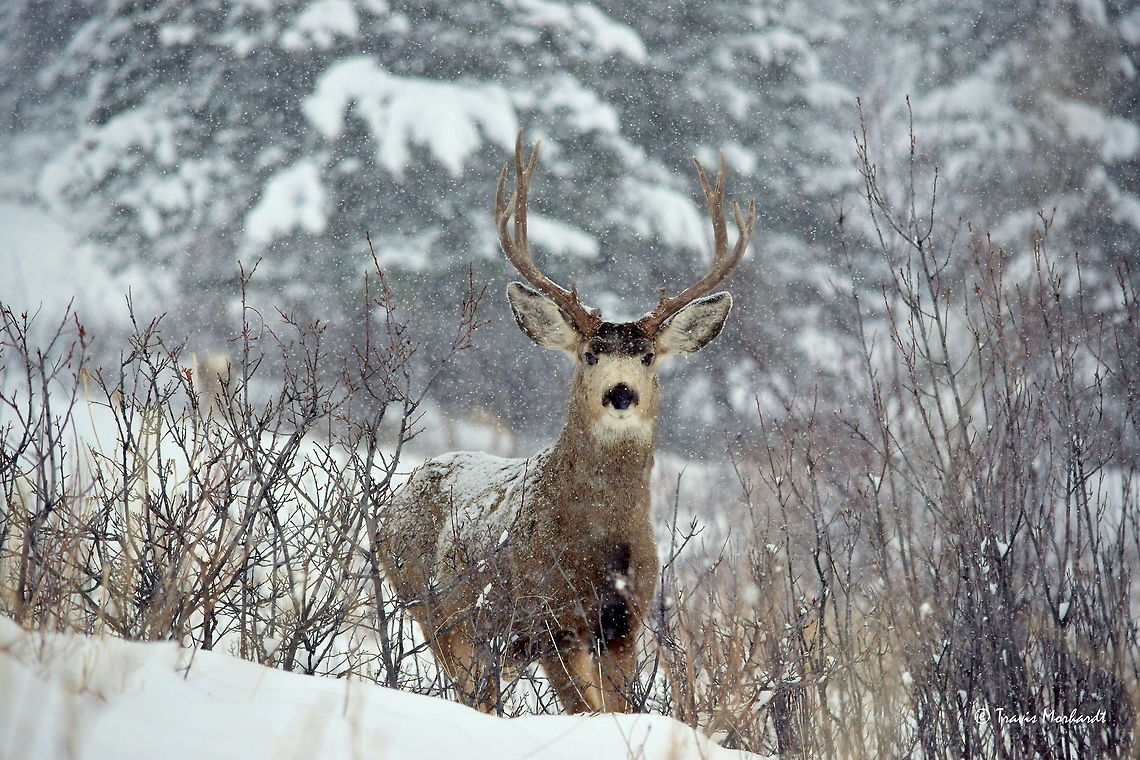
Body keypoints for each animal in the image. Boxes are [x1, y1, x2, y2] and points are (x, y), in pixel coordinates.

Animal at [377, 132, 754, 714]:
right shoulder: (550, 621)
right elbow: (585, 712)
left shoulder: (625, 626)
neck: (600, 546)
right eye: (589, 354)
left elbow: (620, 711)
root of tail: (401, 493)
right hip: (433, 610)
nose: (620, 393)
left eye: (648, 357)